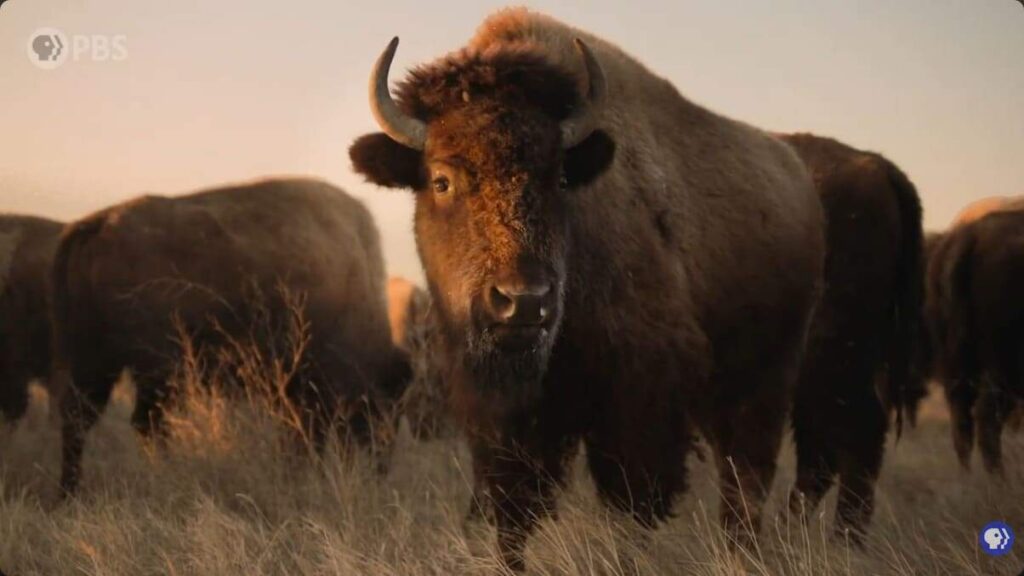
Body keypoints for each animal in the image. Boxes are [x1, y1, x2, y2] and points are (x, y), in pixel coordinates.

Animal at [52, 178, 410, 493]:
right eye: (388, 406)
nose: (382, 466)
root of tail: (98, 223)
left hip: (96, 361)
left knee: (78, 419)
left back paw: (70, 495)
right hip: (157, 368)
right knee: (146, 422)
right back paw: (168, 475)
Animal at [350, 9, 825, 568]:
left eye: (559, 178)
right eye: (441, 181)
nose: (523, 301)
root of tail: (797, 176)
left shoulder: (639, 400)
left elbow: (631, 505)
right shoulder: (502, 417)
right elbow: (512, 511)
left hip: (766, 379)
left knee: (746, 477)